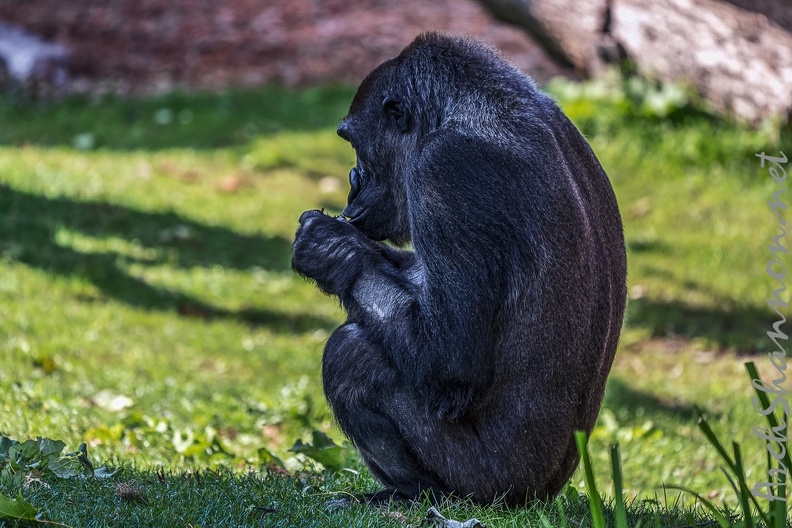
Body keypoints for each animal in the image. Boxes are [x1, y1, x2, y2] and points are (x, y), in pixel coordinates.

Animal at [290, 34, 624, 508]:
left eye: (354, 142)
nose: (353, 179)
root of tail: (542, 497)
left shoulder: (442, 173)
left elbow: (447, 357)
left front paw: (330, 250)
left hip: (492, 485)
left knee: (352, 355)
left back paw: (417, 494)